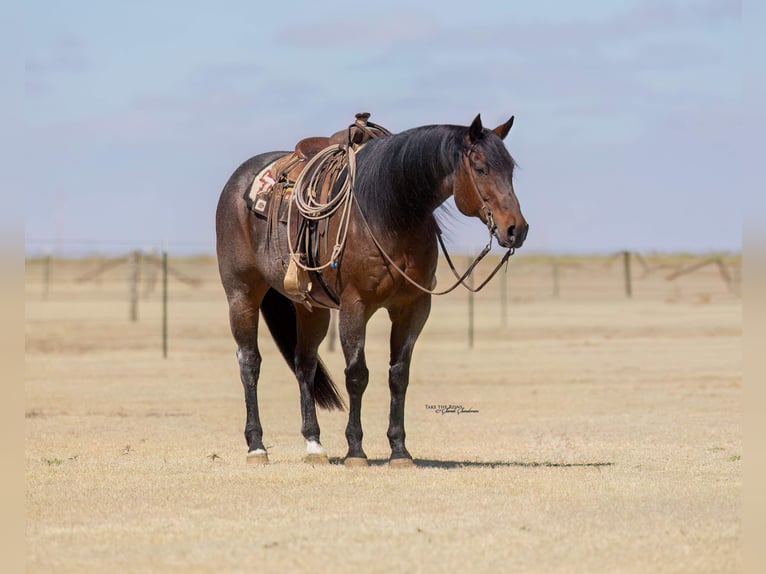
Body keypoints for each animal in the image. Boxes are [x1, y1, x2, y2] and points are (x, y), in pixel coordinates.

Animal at [215, 113, 528, 467]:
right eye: (480, 167)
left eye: (510, 169)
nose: (516, 229)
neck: (391, 214)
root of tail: (238, 181)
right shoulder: (355, 305)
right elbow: (356, 374)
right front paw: (355, 450)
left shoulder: (413, 307)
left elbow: (398, 374)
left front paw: (400, 451)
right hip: (242, 293)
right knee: (249, 362)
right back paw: (256, 446)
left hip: (311, 308)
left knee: (304, 363)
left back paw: (314, 445)